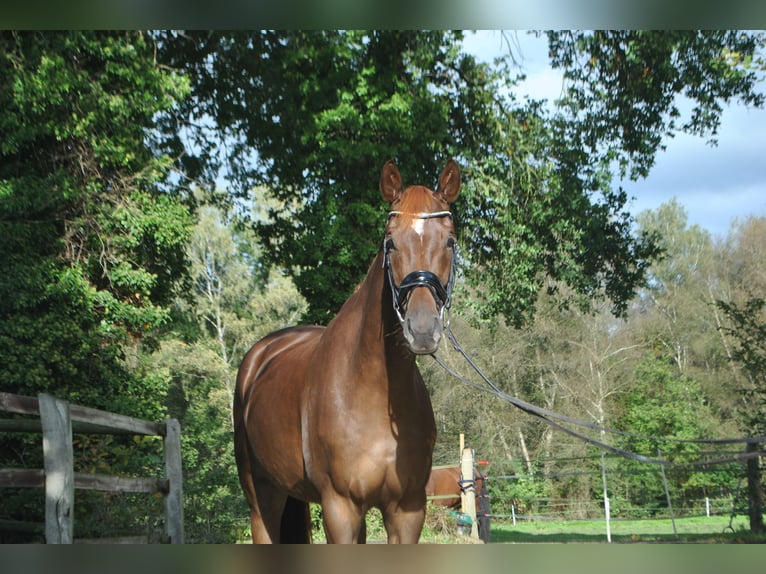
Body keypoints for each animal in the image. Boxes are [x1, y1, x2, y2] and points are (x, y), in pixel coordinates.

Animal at [234, 159, 462, 544]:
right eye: (390, 242)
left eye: (449, 240)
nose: (422, 329)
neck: (373, 390)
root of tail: (260, 356)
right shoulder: (340, 507)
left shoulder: (407, 510)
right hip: (261, 494)